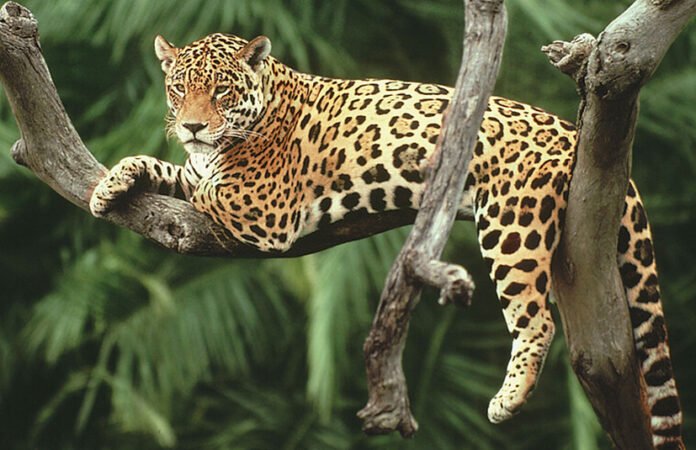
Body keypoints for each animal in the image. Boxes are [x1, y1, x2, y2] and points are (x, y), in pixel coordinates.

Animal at [89, 33, 683, 449]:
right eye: (178, 89)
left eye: (221, 91)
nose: (192, 126)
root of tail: (572, 131)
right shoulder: (208, 170)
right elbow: (173, 170)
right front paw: (109, 184)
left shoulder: (263, 205)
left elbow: (204, 185)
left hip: (510, 222)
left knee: (535, 319)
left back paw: (507, 400)